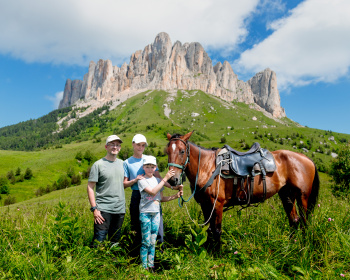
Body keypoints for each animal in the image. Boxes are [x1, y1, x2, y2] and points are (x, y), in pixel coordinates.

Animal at [166, 130, 320, 248]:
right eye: (167, 152)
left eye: (182, 151)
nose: (172, 180)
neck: (207, 167)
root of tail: (306, 158)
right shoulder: (205, 205)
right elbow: (208, 229)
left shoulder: (218, 204)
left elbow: (216, 230)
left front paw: (217, 254)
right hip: (287, 195)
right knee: (294, 220)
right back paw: (291, 245)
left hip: (302, 197)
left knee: (304, 222)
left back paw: (303, 246)